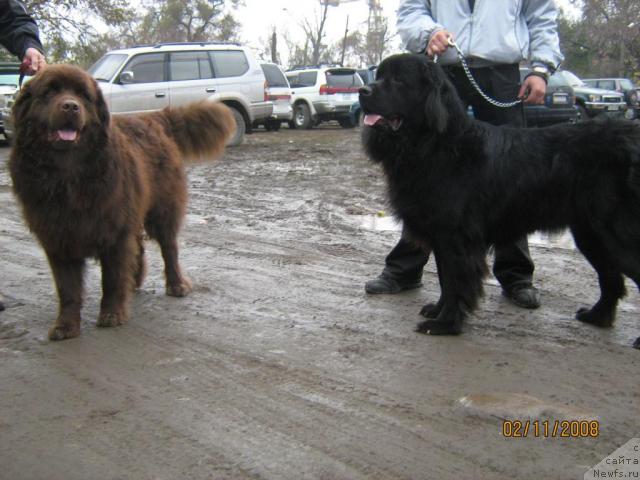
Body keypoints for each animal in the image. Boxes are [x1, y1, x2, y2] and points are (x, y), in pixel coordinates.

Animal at [7, 64, 236, 342]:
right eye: (49, 92)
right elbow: (67, 288)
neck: (68, 175)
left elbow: (112, 278)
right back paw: (135, 280)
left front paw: (112, 314)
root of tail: (154, 117)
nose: (71, 106)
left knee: (169, 247)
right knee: (138, 246)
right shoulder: (57, 235)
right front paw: (65, 326)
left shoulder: (113, 228)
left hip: (161, 209)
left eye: (83, 95)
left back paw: (176, 284)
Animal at [360, 53, 640, 348]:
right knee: (611, 279)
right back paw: (596, 317)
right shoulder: (442, 235)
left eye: (398, 81)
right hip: (592, 235)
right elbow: (446, 279)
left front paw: (444, 324)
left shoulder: (457, 237)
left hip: (619, 234)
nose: (362, 91)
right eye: (378, 76)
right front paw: (437, 311)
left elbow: (457, 281)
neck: (433, 143)